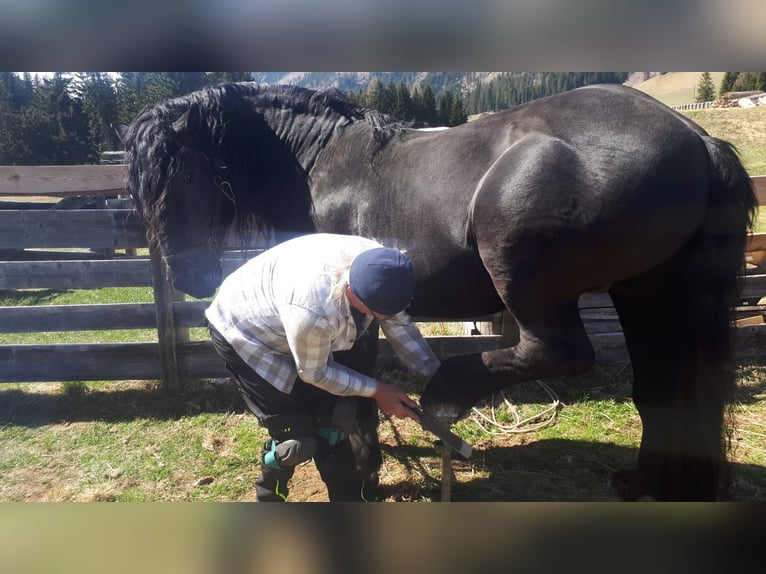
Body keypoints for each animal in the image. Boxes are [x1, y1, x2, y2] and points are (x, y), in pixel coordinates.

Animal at [114, 83, 756, 502]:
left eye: (183, 175)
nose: (187, 275)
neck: (319, 163)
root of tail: (697, 138)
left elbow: (349, 397)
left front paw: (363, 474)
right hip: (649, 294)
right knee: (664, 389)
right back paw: (652, 485)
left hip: (528, 279)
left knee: (557, 352)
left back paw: (452, 385)